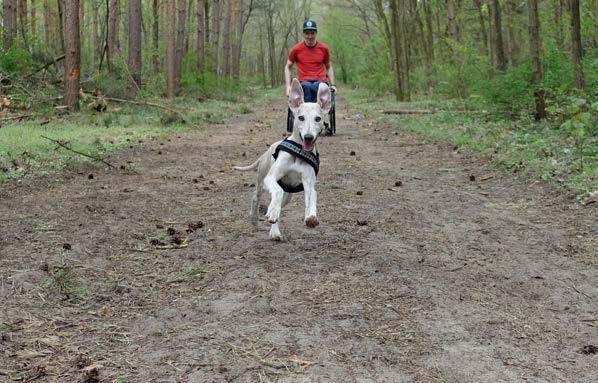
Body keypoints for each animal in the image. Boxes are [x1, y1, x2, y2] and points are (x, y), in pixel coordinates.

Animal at [233, 79, 332, 242]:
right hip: (262, 181)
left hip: (288, 196)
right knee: (257, 196)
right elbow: (277, 193)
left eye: (318, 119)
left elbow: (312, 197)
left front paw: (311, 216)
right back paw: (255, 219)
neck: (298, 153)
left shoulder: (309, 183)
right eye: (300, 117)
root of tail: (264, 154)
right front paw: (271, 211)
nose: (308, 137)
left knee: (279, 204)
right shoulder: (271, 178)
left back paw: (274, 230)